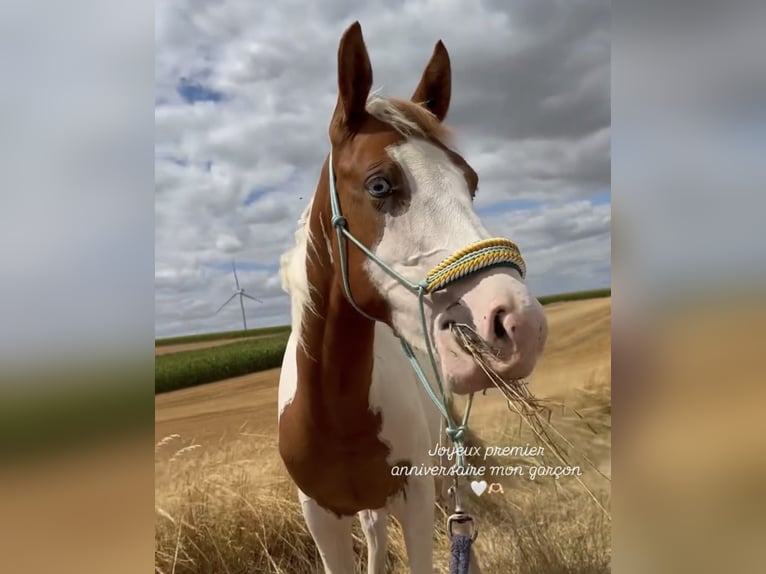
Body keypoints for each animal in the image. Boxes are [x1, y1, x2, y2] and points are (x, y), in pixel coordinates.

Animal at [277, 21, 548, 574]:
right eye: (380, 185)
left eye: (471, 182)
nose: (518, 324)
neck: (335, 416)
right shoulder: (320, 516)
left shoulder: (418, 499)